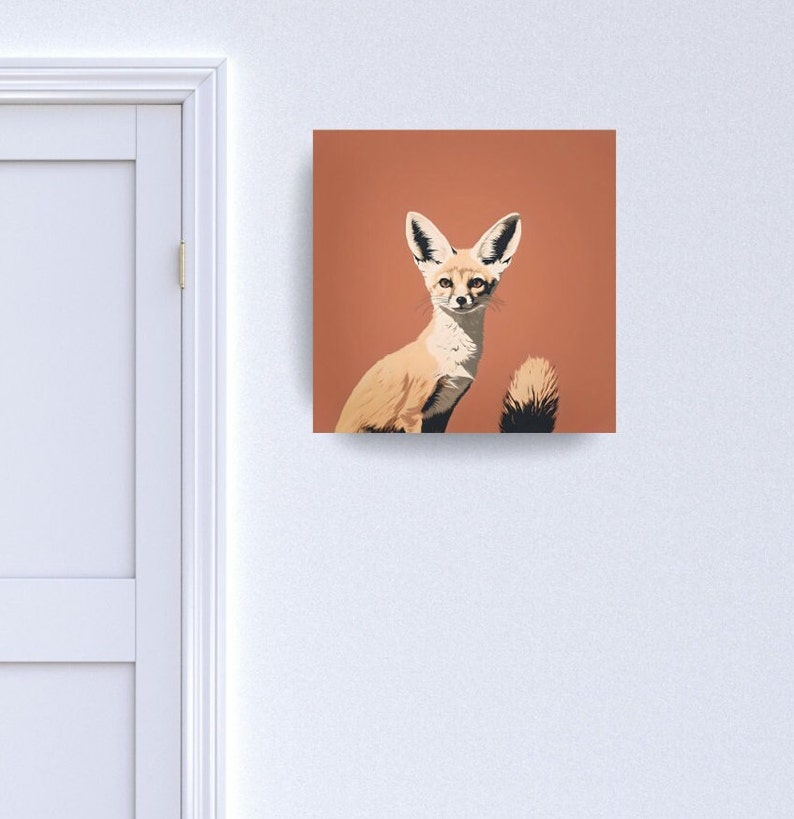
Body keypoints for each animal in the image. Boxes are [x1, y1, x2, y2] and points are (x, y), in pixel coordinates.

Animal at [335, 211, 559, 433]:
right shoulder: (411, 412)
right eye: (445, 283)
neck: (454, 357)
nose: (460, 300)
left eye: (476, 282)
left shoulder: (444, 409)